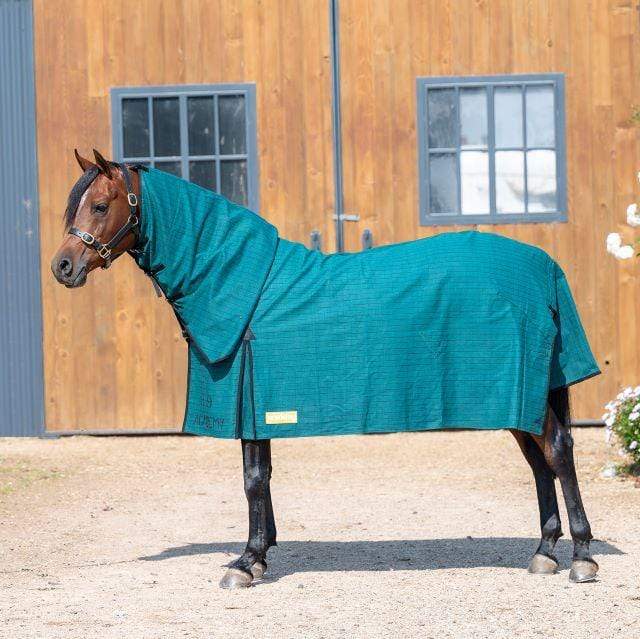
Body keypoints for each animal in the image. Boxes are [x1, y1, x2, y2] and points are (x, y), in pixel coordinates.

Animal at [51, 149, 600, 588]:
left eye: (100, 205)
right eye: (72, 206)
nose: (62, 267)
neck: (241, 284)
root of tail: (545, 266)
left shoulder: (254, 399)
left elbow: (253, 479)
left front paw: (245, 562)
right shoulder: (258, 405)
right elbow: (260, 476)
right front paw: (260, 554)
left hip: (526, 395)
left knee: (556, 452)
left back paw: (580, 557)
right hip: (521, 398)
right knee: (539, 462)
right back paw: (544, 553)